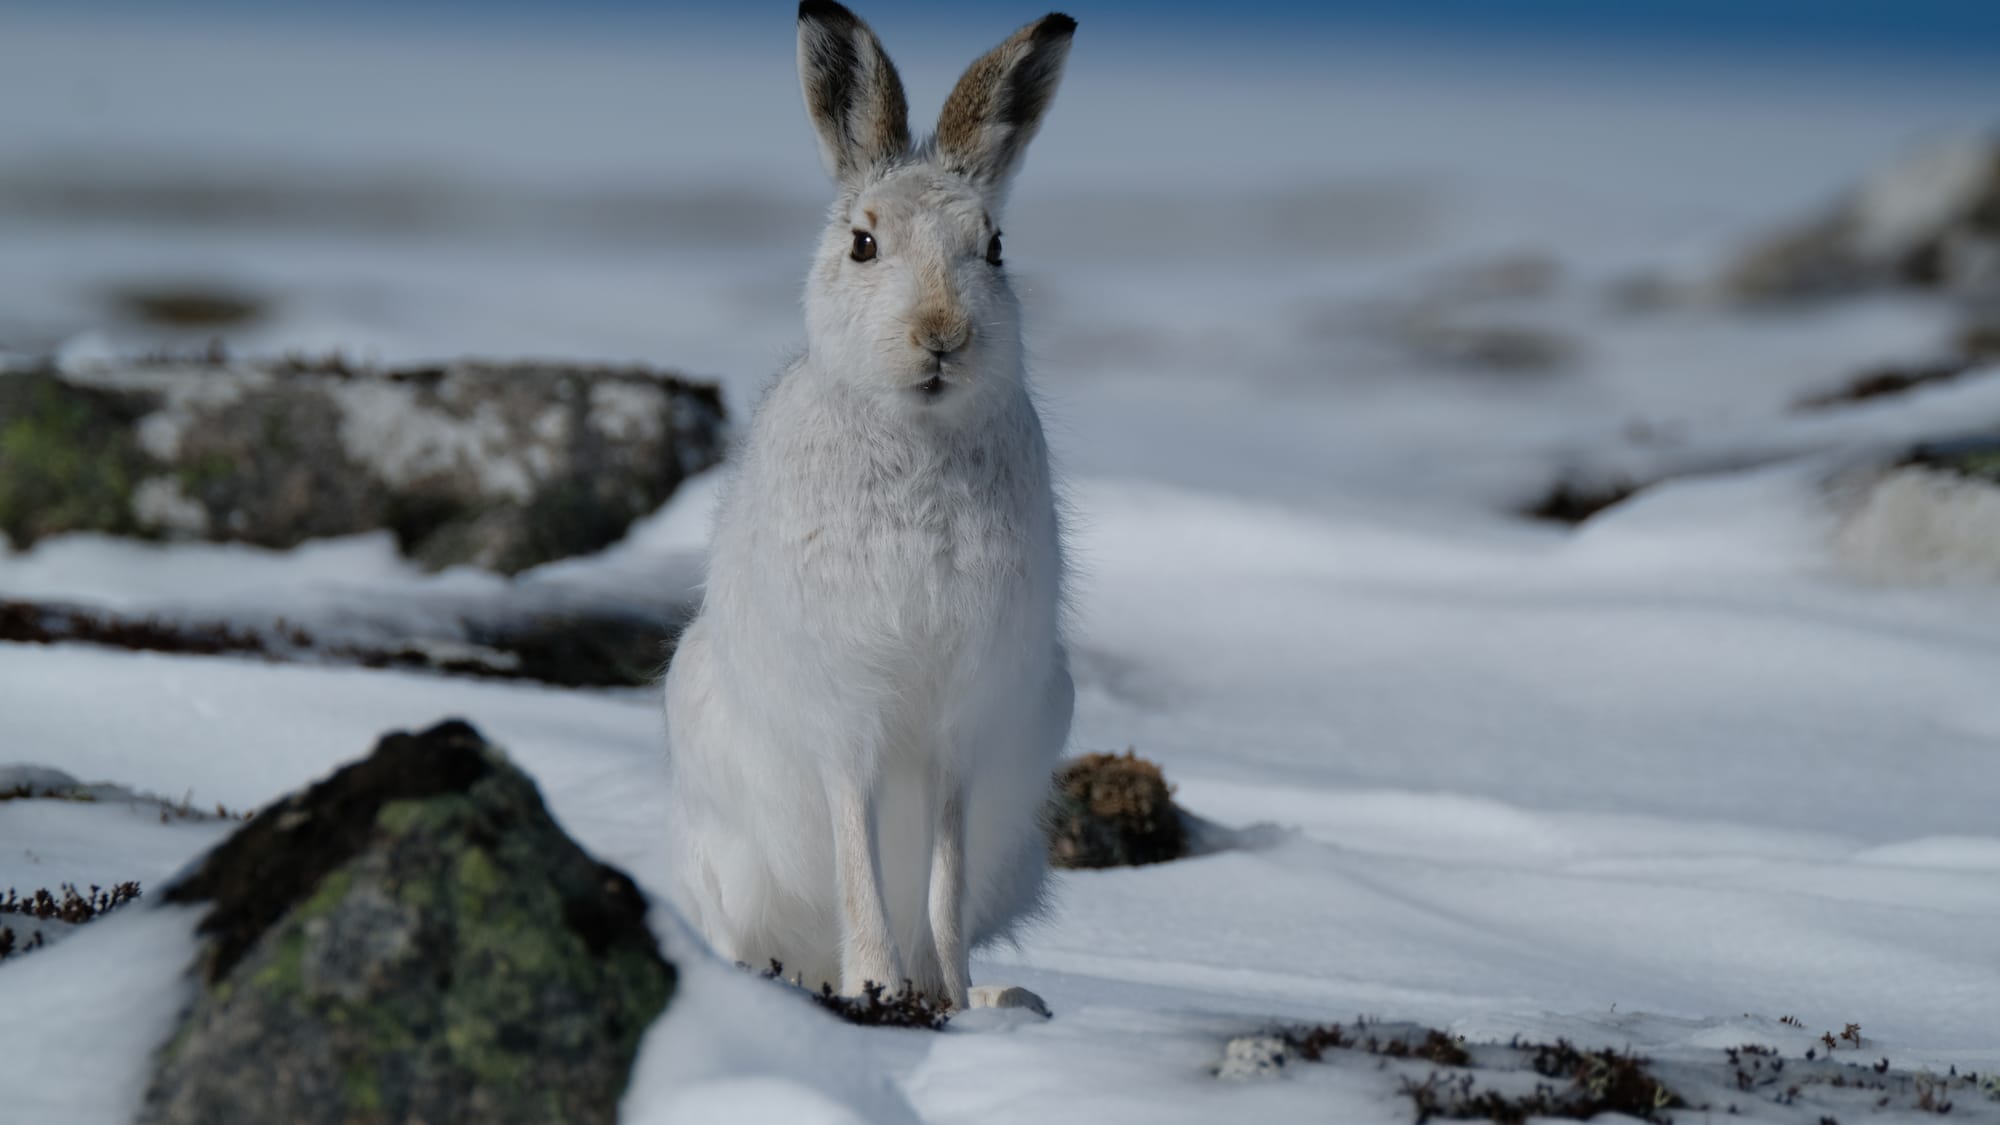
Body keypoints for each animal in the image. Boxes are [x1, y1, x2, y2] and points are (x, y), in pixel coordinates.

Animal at [661, 1, 1077, 1012]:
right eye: (863, 243)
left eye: (994, 248)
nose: (942, 335)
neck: (917, 436)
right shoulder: (846, 716)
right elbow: (857, 850)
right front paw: (878, 983)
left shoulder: (964, 727)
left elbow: (946, 872)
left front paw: (948, 998)